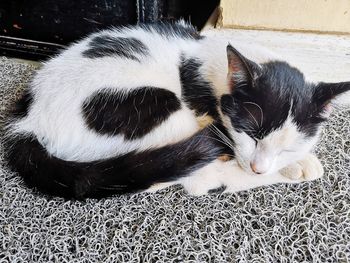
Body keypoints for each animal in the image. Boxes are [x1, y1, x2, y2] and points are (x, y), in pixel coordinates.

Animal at [3, 20, 350, 199]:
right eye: (251, 135)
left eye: (288, 147)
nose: (259, 168)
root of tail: (28, 121)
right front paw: (300, 165)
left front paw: (298, 160)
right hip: (151, 103)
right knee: (199, 179)